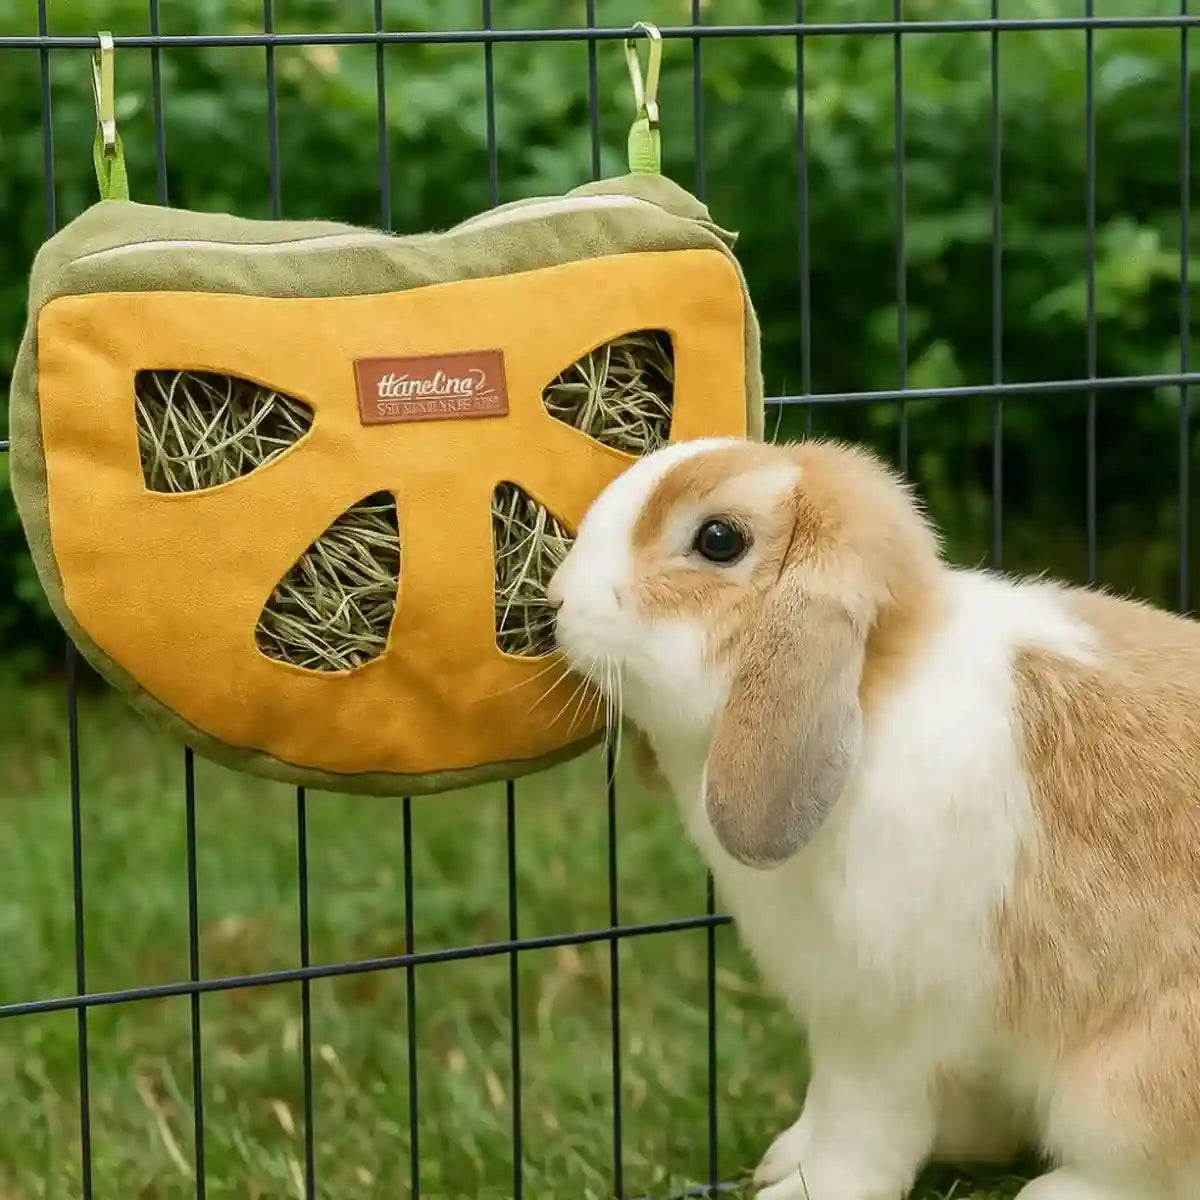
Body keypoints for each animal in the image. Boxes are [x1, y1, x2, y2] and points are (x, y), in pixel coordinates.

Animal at [546, 435, 1200, 1200]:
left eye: (719, 540)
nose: (557, 598)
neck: (867, 694)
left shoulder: (883, 1027)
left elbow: (864, 1128)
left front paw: (802, 1189)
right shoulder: (840, 1022)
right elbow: (831, 1102)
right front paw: (785, 1158)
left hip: (1125, 1080)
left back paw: (1054, 1191)